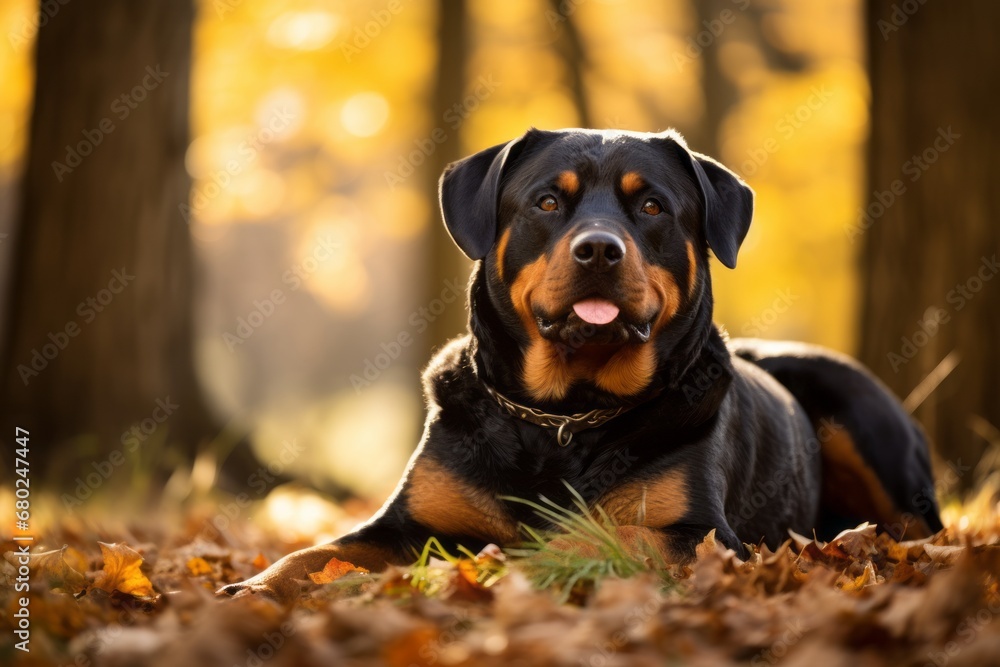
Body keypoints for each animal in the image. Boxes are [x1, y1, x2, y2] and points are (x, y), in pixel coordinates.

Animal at [221, 128, 944, 604]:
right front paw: (254, 584)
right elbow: (319, 550)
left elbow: (592, 537)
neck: (562, 415)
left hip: (864, 420)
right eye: (548, 202)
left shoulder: (701, 533)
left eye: (651, 205)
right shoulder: (406, 521)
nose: (599, 248)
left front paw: (511, 564)